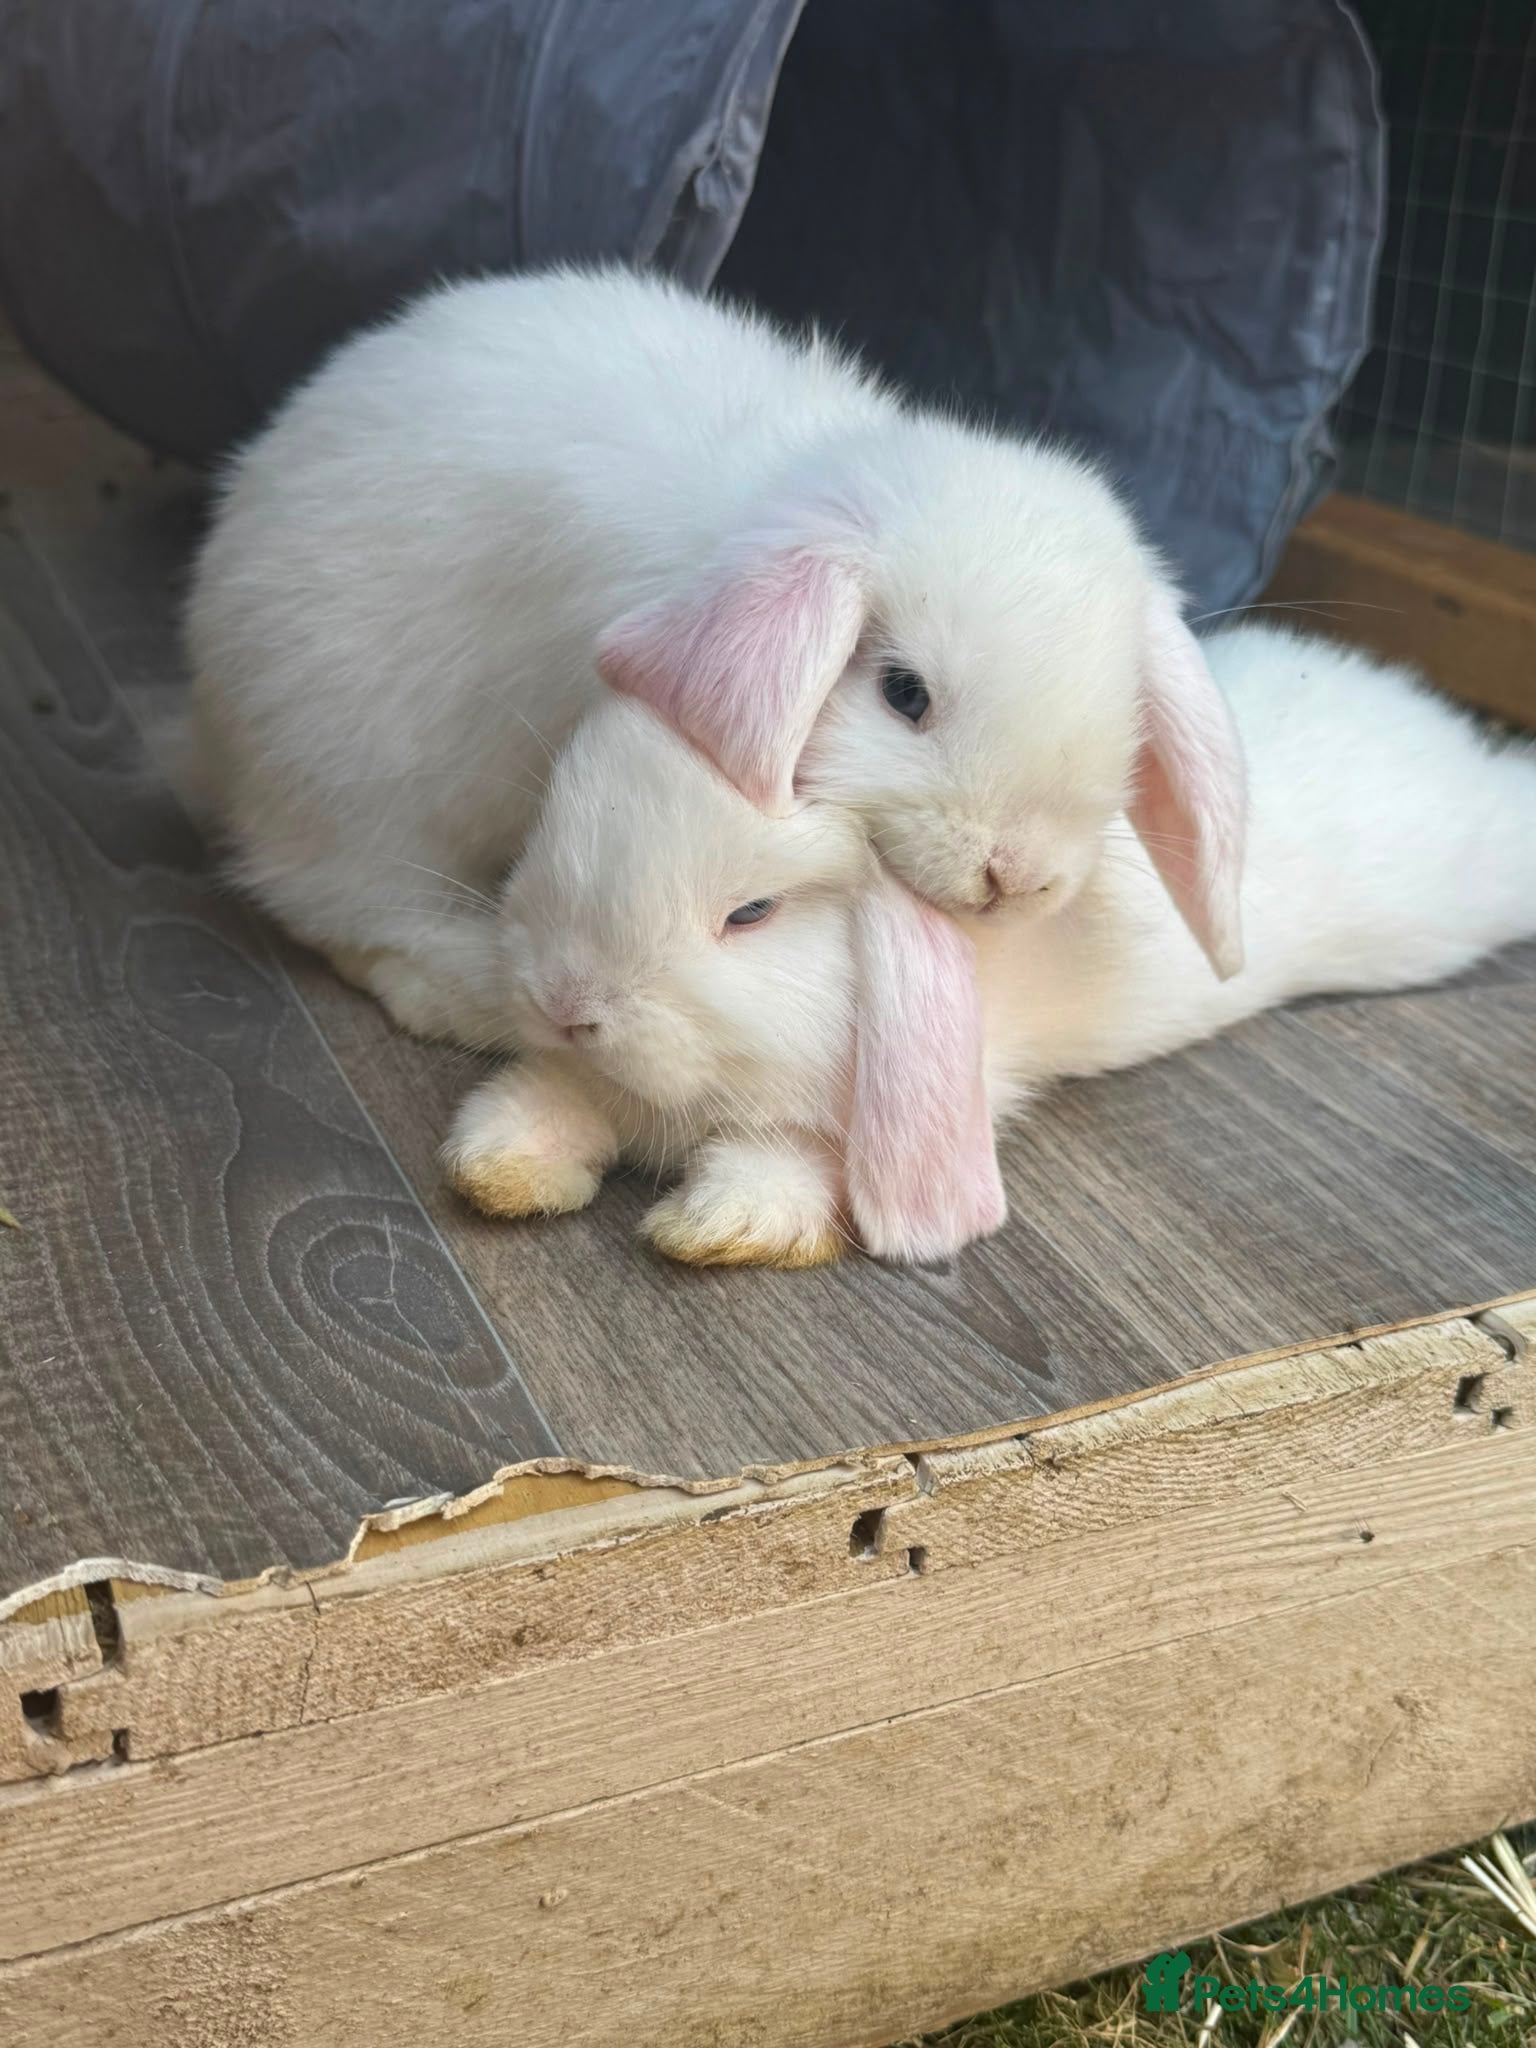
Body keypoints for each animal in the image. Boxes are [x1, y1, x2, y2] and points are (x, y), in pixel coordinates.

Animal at [178, 264, 1245, 1051]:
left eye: (1128, 724)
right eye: (904, 694)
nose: (1017, 877)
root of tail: (208, 728)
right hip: (365, 785)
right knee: (336, 906)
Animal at [440, 623, 1536, 1266]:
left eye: (752, 913)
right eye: (549, 834)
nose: (569, 1002)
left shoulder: (849, 1119)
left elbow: (779, 1169)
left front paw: (712, 1230)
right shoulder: (585, 1077)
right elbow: (541, 1102)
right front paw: (499, 1172)